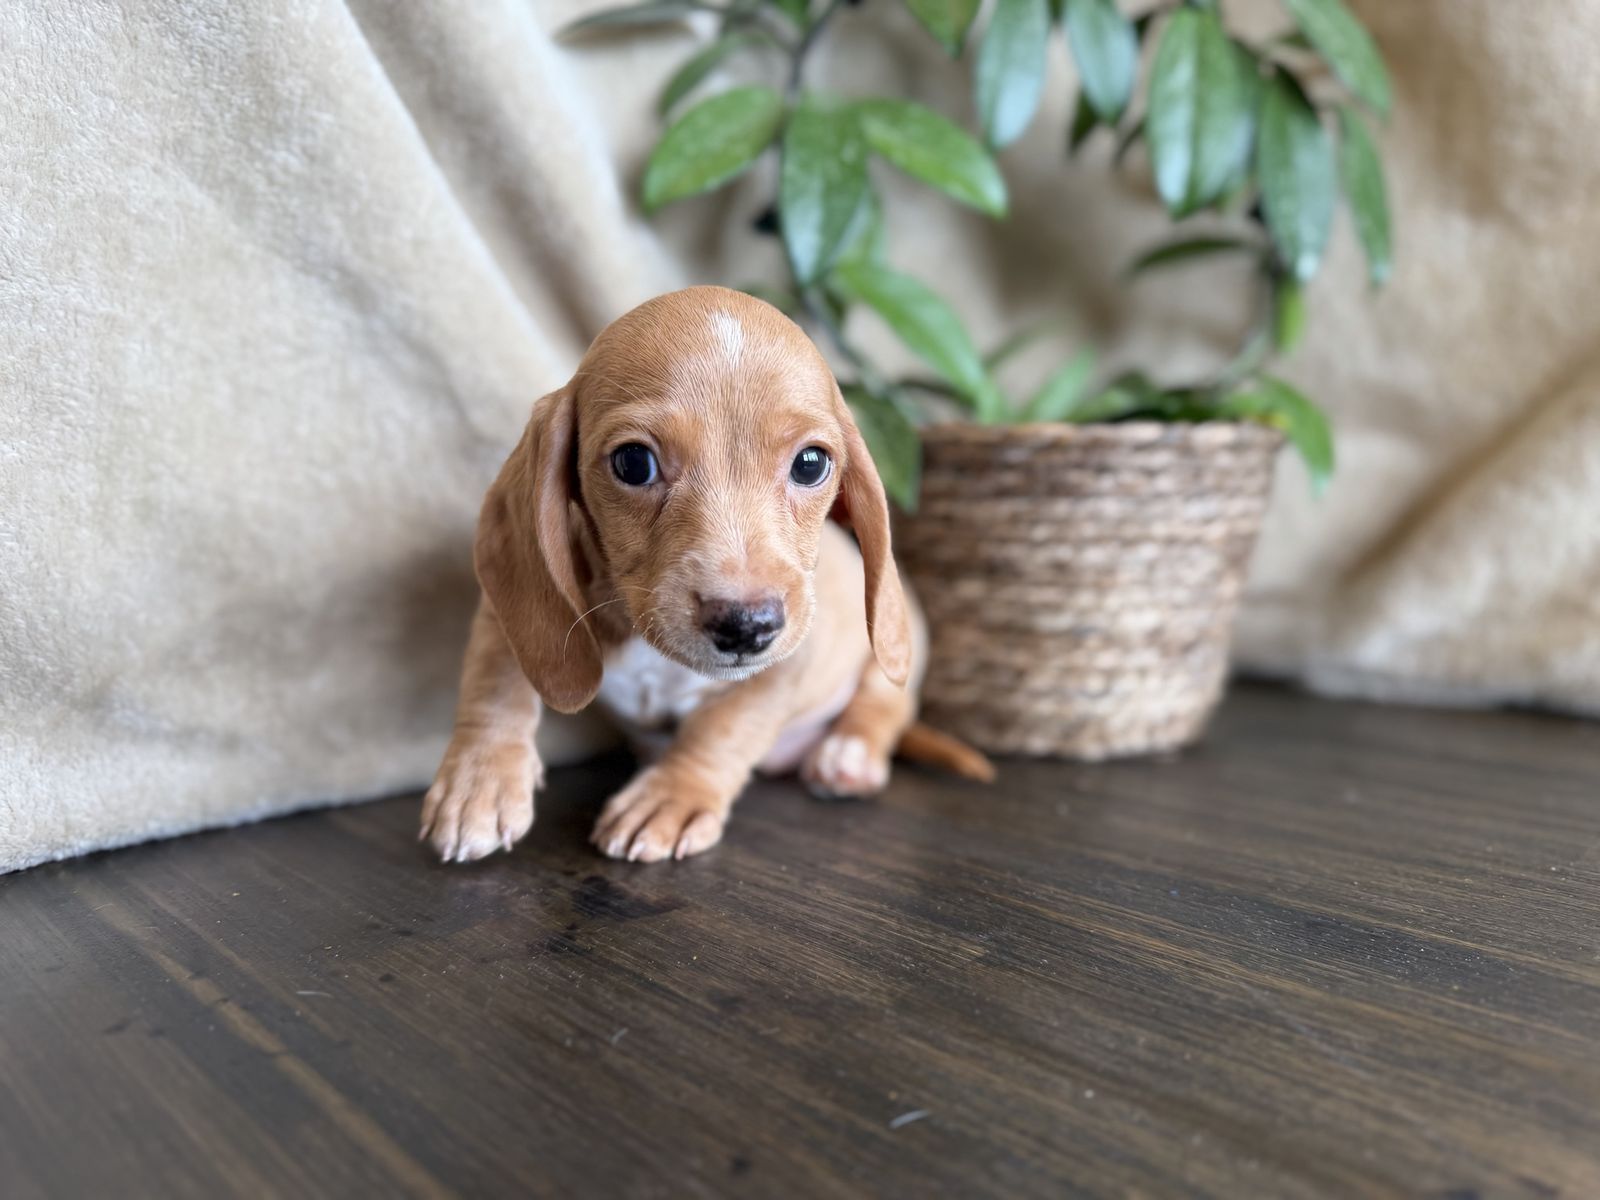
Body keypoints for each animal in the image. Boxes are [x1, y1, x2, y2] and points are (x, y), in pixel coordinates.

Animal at [421, 286, 990, 865]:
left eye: (810, 464)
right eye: (633, 462)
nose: (746, 626)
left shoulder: (786, 664)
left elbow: (724, 729)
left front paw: (674, 794)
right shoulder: (508, 610)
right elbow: (497, 679)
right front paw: (480, 781)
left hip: (899, 642)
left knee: (885, 704)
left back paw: (848, 754)